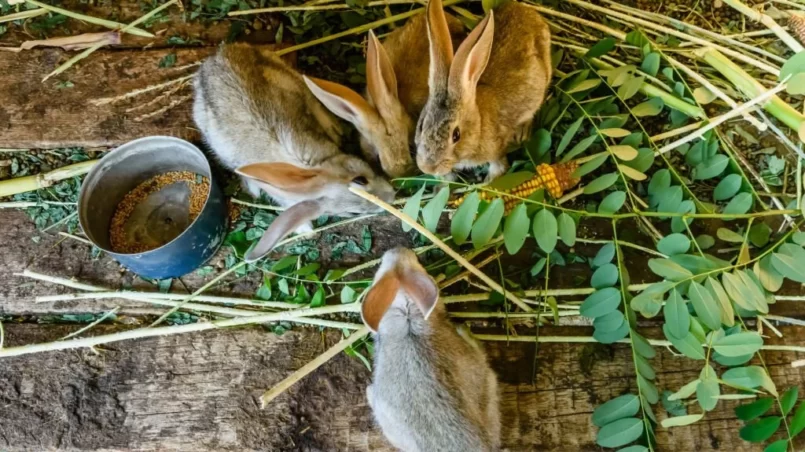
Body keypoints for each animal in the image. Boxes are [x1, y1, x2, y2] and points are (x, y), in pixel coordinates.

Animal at [414, 0, 552, 182]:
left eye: (456, 135)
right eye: (421, 125)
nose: (428, 168)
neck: (478, 125)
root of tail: (528, 11)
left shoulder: (496, 151)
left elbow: (498, 169)